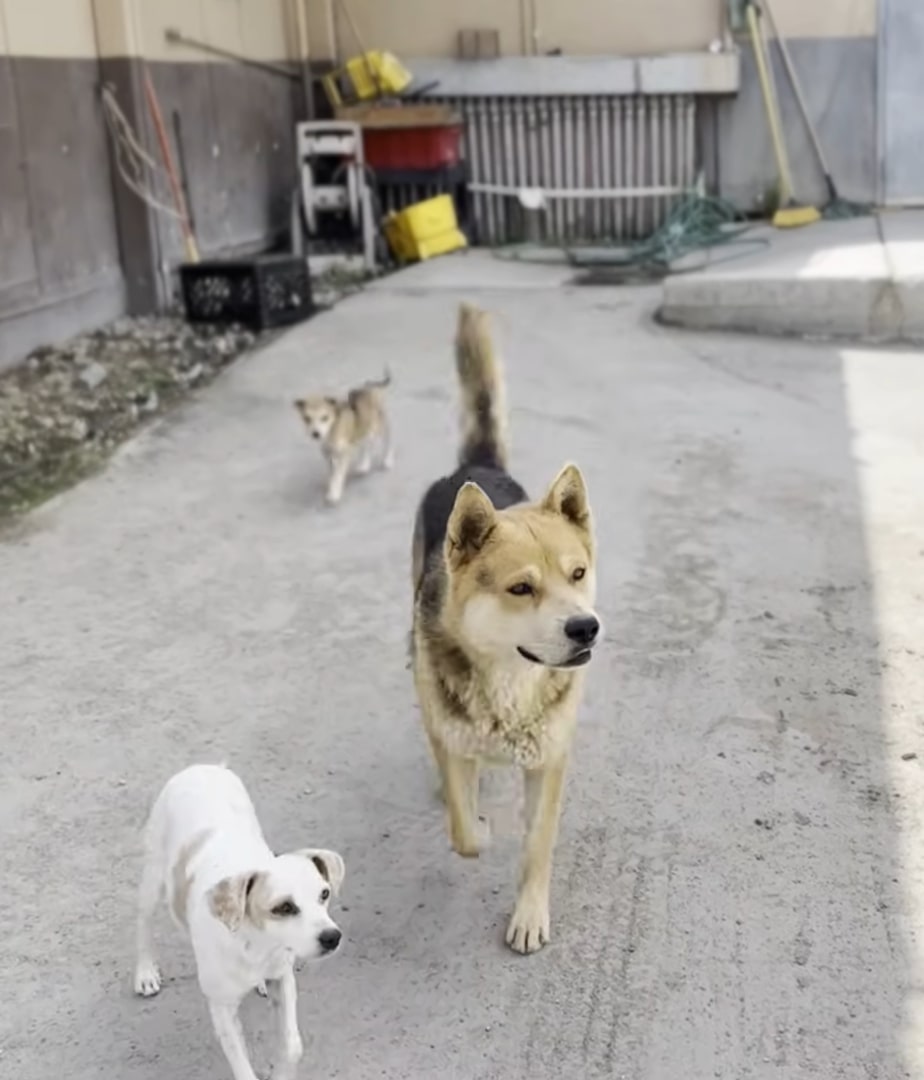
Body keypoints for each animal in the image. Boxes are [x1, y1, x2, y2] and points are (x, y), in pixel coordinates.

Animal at [131, 760, 345, 1080]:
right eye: (284, 907)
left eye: (324, 894)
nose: (333, 937)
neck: (255, 943)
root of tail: (203, 766)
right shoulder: (222, 1009)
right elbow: (243, 1069)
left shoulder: (283, 979)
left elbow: (292, 1046)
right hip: (153, 879)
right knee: (143, 924)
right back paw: (145, 973)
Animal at [293, 371, 390, 505]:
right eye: (307, 418)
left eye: (325, 417)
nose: (316, 434)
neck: (332, 429)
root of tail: (369, 386)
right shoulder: (327, 454)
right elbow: (332, 473)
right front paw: (331, 485)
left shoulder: (345, 453)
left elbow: (338, 474)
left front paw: (334, 493)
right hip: (363, 426)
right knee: (367, 444)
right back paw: (364, 465)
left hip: (380, 423)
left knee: (387, 440)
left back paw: (388, 460)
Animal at [410, 304, 600, 954]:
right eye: (521, 589)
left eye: (578, 574)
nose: (586, 629)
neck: (510, 682)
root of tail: (478, 467)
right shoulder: (451, 737)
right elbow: (464, 832)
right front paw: (479, 826)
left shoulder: (549, 763)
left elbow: (537, 843)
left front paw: (529, 913)